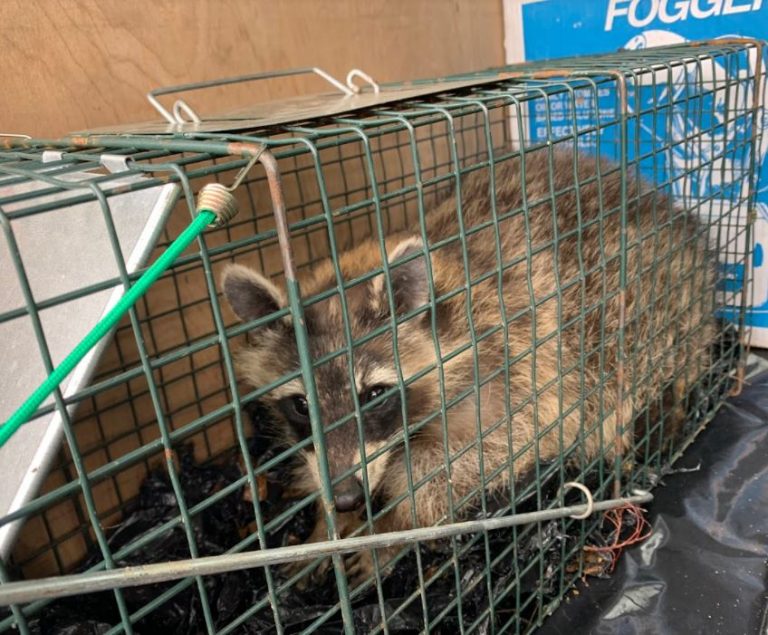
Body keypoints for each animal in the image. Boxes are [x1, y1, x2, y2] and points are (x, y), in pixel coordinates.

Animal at [221, 147, 715, 585]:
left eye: (374, 395)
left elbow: (476, 458)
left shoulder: (517, 369)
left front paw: (392, 525)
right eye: (301, 405)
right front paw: (325, 528)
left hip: (645, 316)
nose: (346, 499)